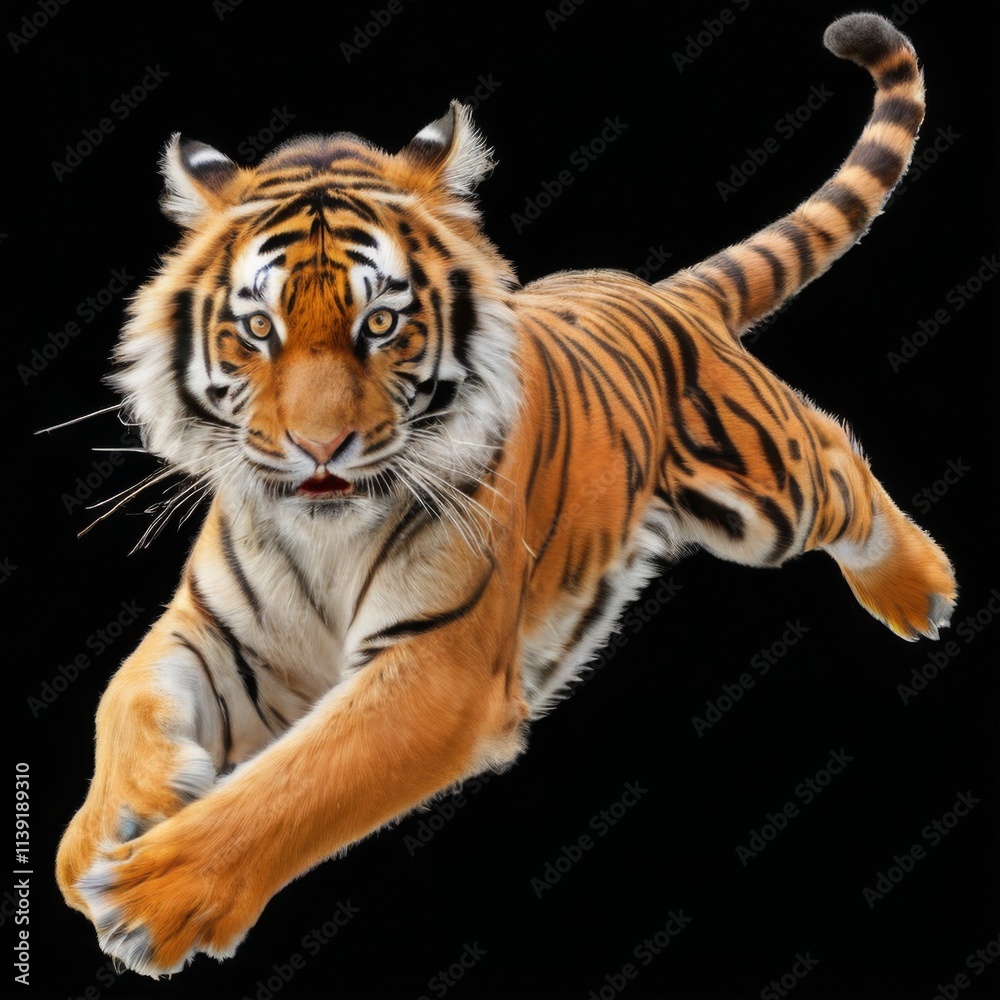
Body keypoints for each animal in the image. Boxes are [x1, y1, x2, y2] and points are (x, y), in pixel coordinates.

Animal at [56, 11, 955, 978]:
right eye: (258, 328)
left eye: (382, 322)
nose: (318, 447)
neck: (322, 533)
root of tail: (653, 287)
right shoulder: (217, 631)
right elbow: (123, 696)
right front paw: (107, 828)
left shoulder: (436, 666)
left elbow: (301, 779)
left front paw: (155, 893)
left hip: (765, 484)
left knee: (838, 460)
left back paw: (918, 590)